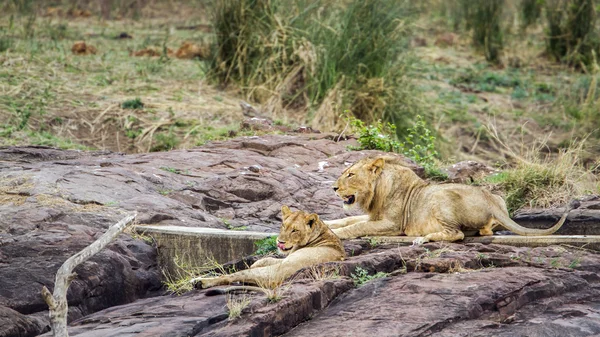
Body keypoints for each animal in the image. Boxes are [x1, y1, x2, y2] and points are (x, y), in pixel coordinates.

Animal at [197, 203, 346, 290]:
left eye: (295, 230)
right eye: (283, 226)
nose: (280, 242)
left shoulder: (285, 264)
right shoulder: (285, 259)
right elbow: (266, 259)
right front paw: (254, 263)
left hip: (274, 273)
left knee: (236, 275)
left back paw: (200, 281)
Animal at [326, 155, 580, 244]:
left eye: (351, 174)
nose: (334, 187)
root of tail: (490, 201)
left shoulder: (393, 224)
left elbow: (356, 227)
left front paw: (334, 234)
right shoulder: (375, 216)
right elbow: (348, 221)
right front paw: (327, 224)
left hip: (440, 197)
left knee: (456, 234)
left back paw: (425, 237)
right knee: (482, 232)